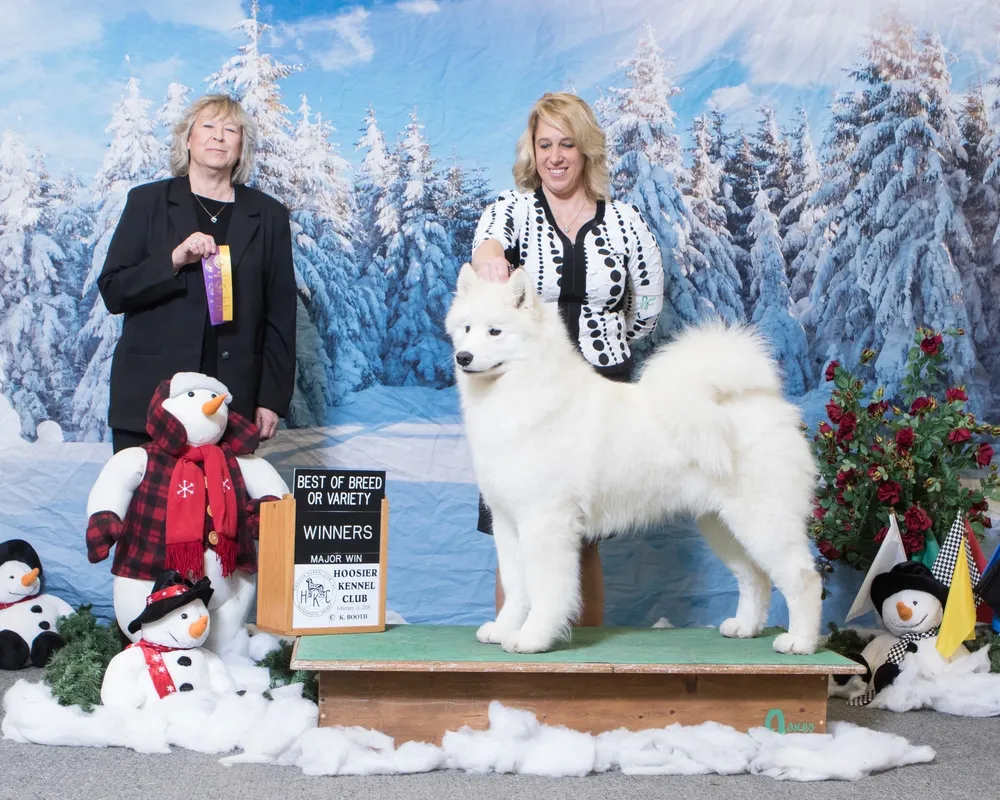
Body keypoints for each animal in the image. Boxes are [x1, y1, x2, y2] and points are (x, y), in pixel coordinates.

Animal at [446, 266, 820, 652]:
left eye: (495, 331)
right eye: (466, 328)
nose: (463, 357)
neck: (520, 393)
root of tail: (768, 403)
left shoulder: (545, 521)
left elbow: (545, 590)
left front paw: (533, 637)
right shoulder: (507, 522)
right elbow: (516, 588)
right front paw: (504, 629)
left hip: (763, 522)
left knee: (804, 578)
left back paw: (800, 641)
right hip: (722, 525)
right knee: (754, 576)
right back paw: (745, 627)